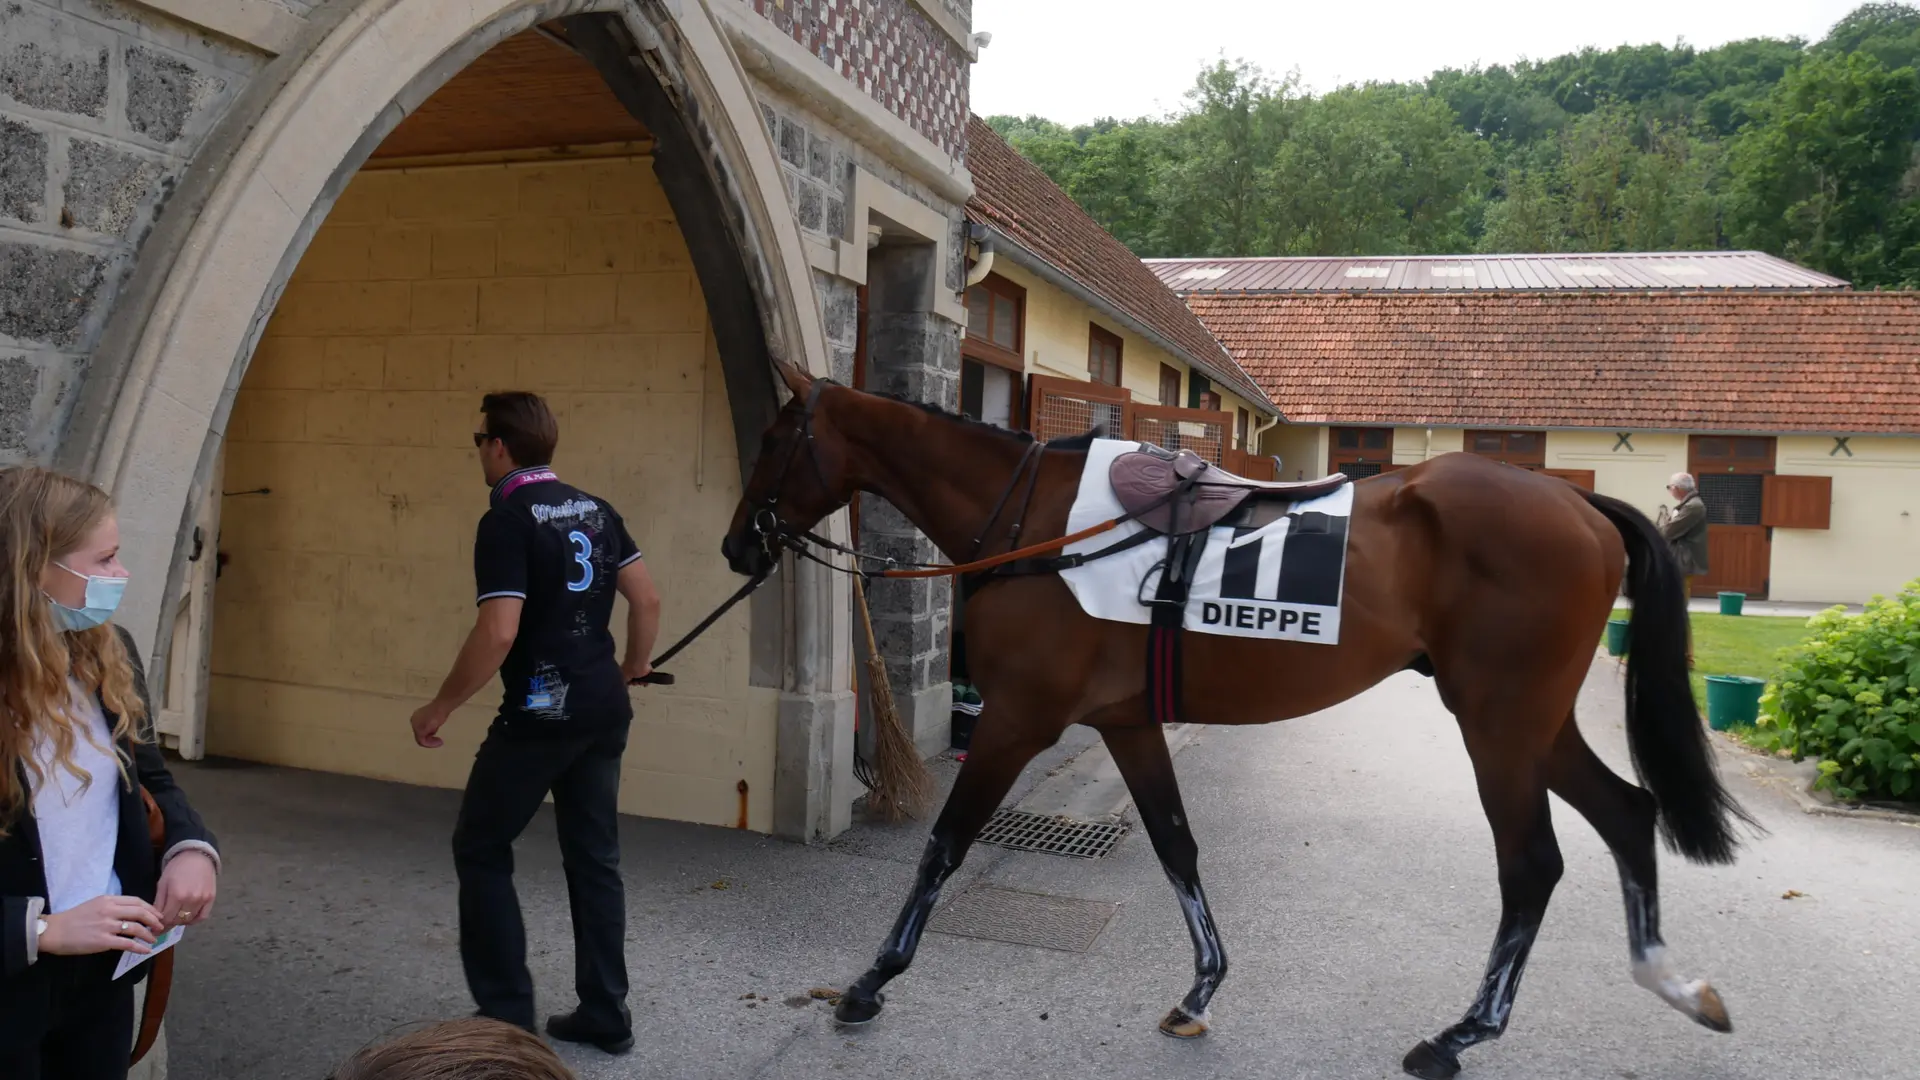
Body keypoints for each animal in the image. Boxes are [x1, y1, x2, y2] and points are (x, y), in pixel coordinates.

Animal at [721, 357, 1758, 1068]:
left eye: (773, 439)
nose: (737, 545)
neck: (1037, 523)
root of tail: (1581, 508)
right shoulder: (1129, 723)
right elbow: (1177, 846)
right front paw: (1200, 989)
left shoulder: (1018, 718)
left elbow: (945, 842)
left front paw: (869, 981)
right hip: (1531, 722)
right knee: (1627, 811)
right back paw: (1671, 980)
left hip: (1497, 725)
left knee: (1533, 864)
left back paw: (1461, 1033)